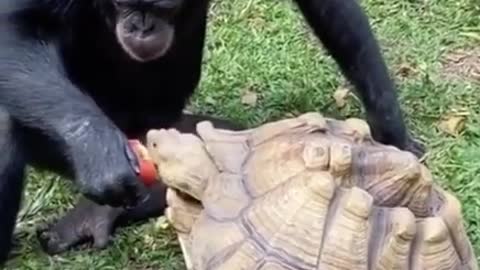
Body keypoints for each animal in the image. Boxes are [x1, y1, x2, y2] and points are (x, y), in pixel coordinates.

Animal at [0, 0, 424, 262]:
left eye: (164, 7)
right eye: (121, 4)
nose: (141, 26)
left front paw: (391, 129)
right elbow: (17, 27)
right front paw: (97, 149)